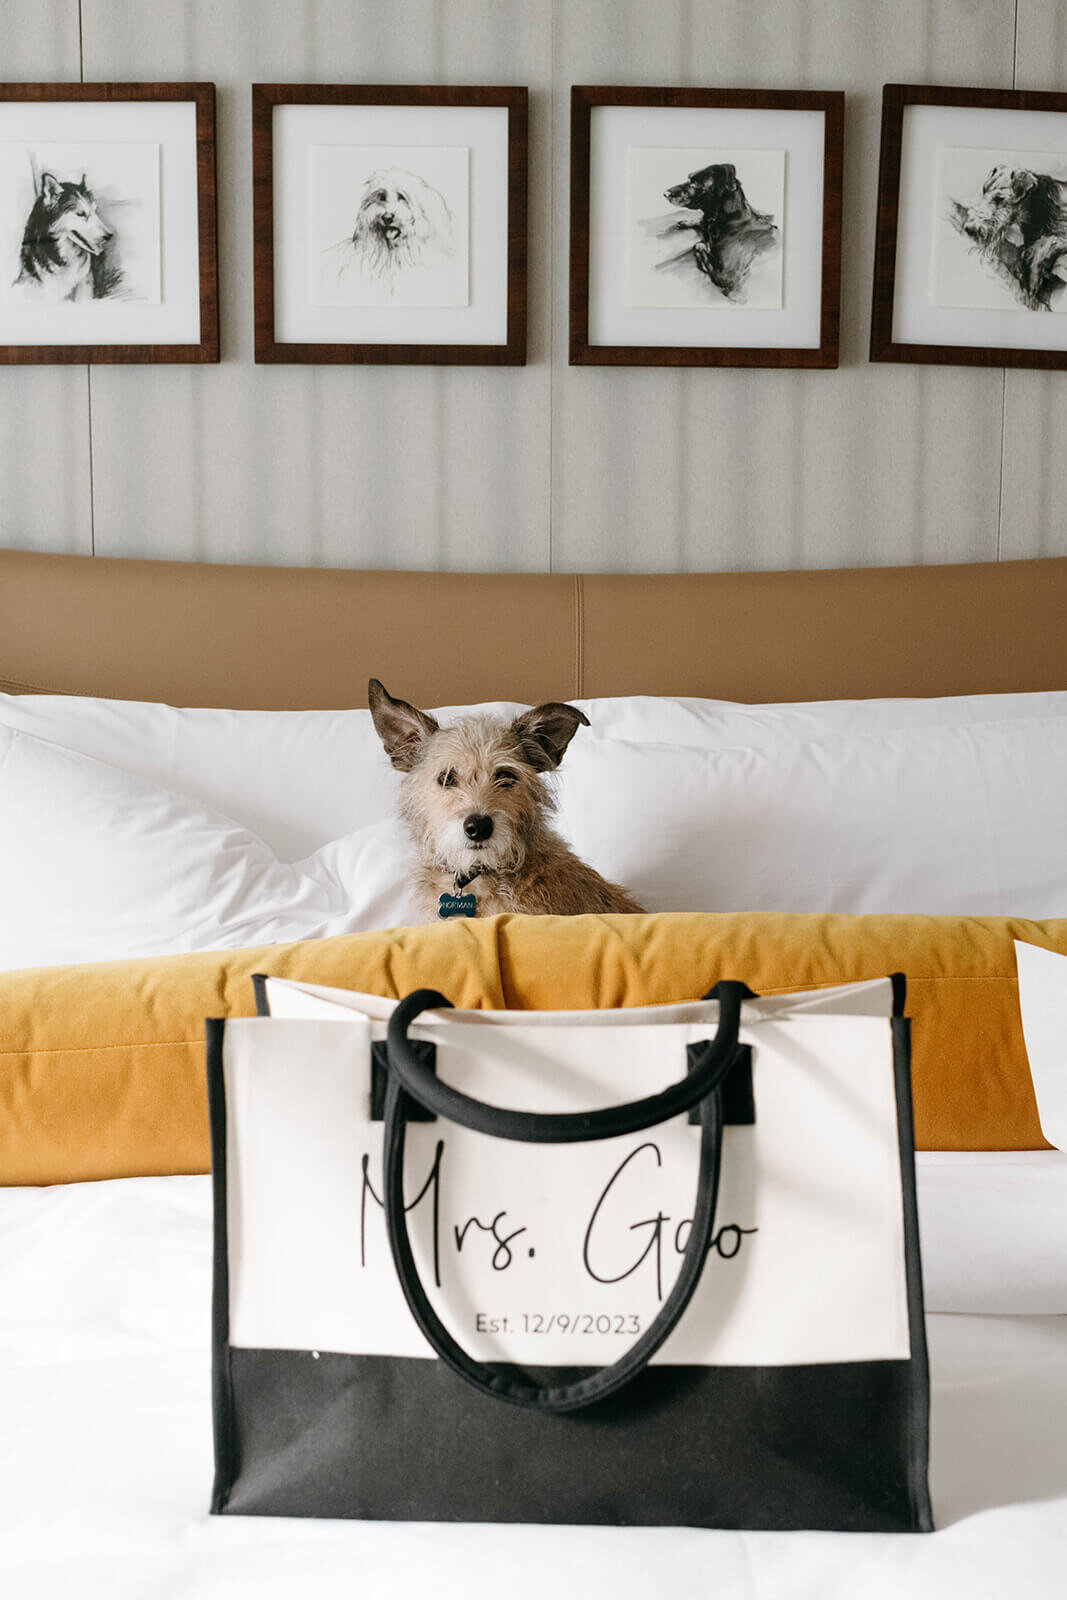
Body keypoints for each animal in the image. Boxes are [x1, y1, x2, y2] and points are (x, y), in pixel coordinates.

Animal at [659, 162, 777, 302]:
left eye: (695, 182)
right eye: (689, 178)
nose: (665, 193)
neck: (728, 218)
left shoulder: (726, 276)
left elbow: (698, 246)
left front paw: (703, 247)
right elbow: (700, 222)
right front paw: (686, 222)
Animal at [953, 164, 1067, 310]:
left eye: (999, 198)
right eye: (983, 191)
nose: (970, 229)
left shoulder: (1059, 236)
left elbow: (1042, 248)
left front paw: (1032, 285)